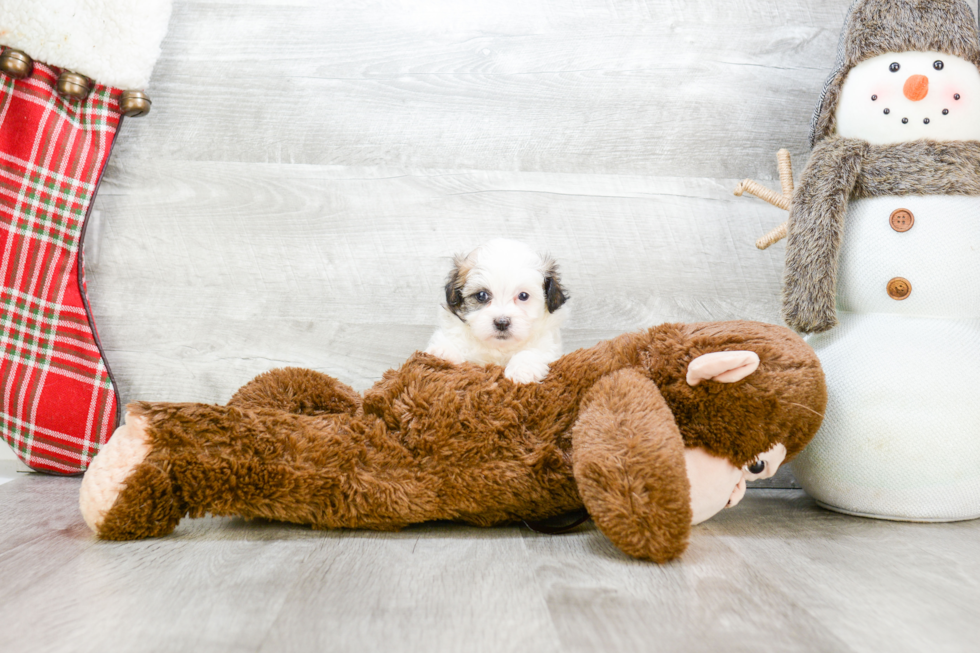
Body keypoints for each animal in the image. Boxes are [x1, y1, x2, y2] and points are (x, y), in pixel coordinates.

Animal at [424, 238, 572, 382]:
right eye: (481, 295)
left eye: (523, 296)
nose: (502, 323)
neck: (499, 348)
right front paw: (443, 353)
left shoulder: (548, 346)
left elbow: (534, 351)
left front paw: (522, 370)